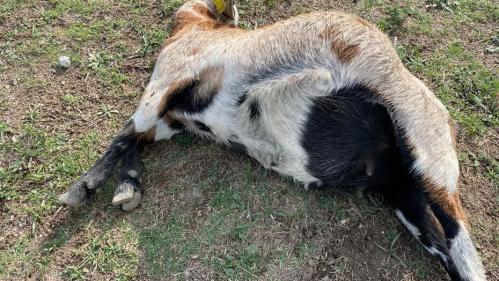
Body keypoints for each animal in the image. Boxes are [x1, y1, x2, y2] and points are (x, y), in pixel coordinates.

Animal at [56, 1, 486, 278]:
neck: (200, 32)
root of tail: (444, 120)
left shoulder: (170, 82)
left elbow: (126, 131)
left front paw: (87, 188)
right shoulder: (171, 116)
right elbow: (137, 138)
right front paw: (126, 187)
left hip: (429, 160)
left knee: (465, 250)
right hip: (405, 196)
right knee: (448, 251)